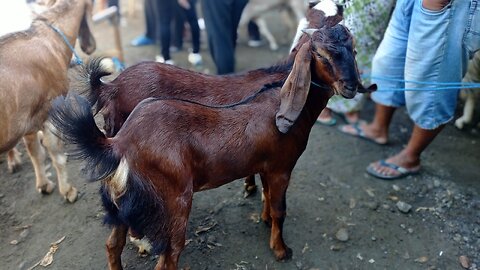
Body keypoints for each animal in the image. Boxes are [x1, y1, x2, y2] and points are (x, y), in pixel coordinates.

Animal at [49, 18, 376, 268]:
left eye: (354, 50)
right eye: (321, 56)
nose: (349, 86)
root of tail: (119, 142)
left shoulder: (265, 164)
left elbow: (267, 197)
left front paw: (263, 218)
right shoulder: (282, 167)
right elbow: (280, 207)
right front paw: (281, 249)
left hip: (121, 201)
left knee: (112, 245)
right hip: (175, 203)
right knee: (168, 256)